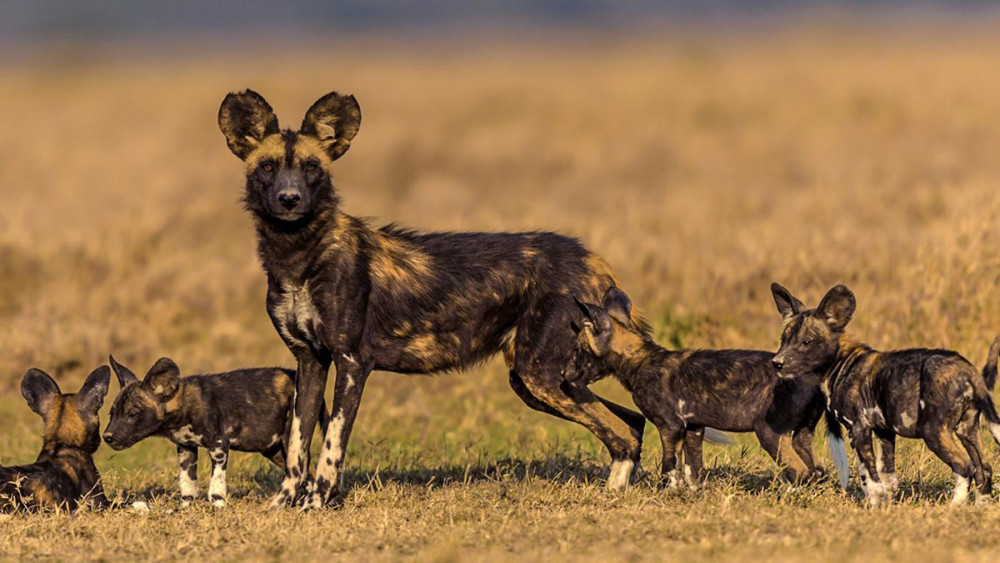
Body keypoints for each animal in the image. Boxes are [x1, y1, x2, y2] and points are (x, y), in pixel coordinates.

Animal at [103, 360, 320, 508]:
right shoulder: (186, 448)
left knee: (305, 472)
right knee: (305, 475)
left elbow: (216, 484)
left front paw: (218, 507)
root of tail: (293, 374)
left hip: (291, 441)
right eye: (112, 414)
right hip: (273, 450)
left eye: (133, 414)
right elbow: (187, 485)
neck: (183, 404)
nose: (107, 437)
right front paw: (185, 509)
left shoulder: (219, 445)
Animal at [217, 90, 648, 508]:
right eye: (267, 167)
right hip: (542, 382)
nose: (289, 199)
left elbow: (331, 444)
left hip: (539, 375)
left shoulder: (352, 363)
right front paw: (283, 503)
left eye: (311, 168)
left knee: (623, 432)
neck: (298, 256)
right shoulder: (309, 362)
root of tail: (591, 258)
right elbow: (297, 444)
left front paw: (317, 501)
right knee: (632, 422)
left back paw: (612, 497)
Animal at [568, 288, 848, 486]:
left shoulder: (670, 426)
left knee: (799, 472)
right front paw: (692, 495)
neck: (641, 361)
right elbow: (693, 471)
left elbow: (669, 469)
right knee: (816, 470)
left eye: (578, 350)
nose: (564, 375)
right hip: (801, 436)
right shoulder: (693, 427)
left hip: (769, 433)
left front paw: (669, 495)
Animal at [772, 282, 1000, 506]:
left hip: (934, 432)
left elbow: (869, 479)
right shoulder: (884, 431)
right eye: (783, 340)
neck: (841, 362)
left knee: (965, 467)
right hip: (967, 429)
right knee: (983, 469)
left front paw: (872, 507)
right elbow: (887, 478)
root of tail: (967, 369)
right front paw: (886, 507)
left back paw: (954, 507)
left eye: (806, 342)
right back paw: (980, 507)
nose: (777, 363)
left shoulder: (858, 429)